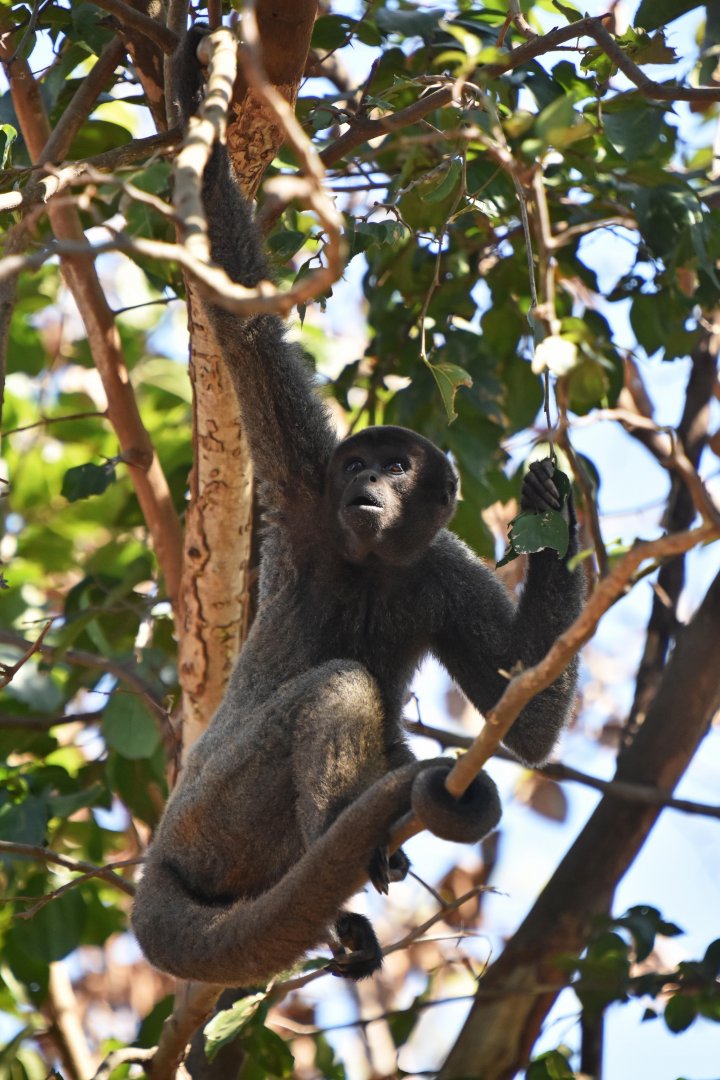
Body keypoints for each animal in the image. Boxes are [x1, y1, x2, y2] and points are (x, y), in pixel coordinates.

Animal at [131, 28, 585, 987]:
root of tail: (162, 855)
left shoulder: (438, 567)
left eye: (397, 465)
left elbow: (522, 721)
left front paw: (554, 519)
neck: (372, 562)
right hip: (219, 814)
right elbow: (240, 319)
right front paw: (195, 95)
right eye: (359, 463)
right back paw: (337, 841)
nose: (367, 485)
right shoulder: (306, 488)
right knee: (339, 686)